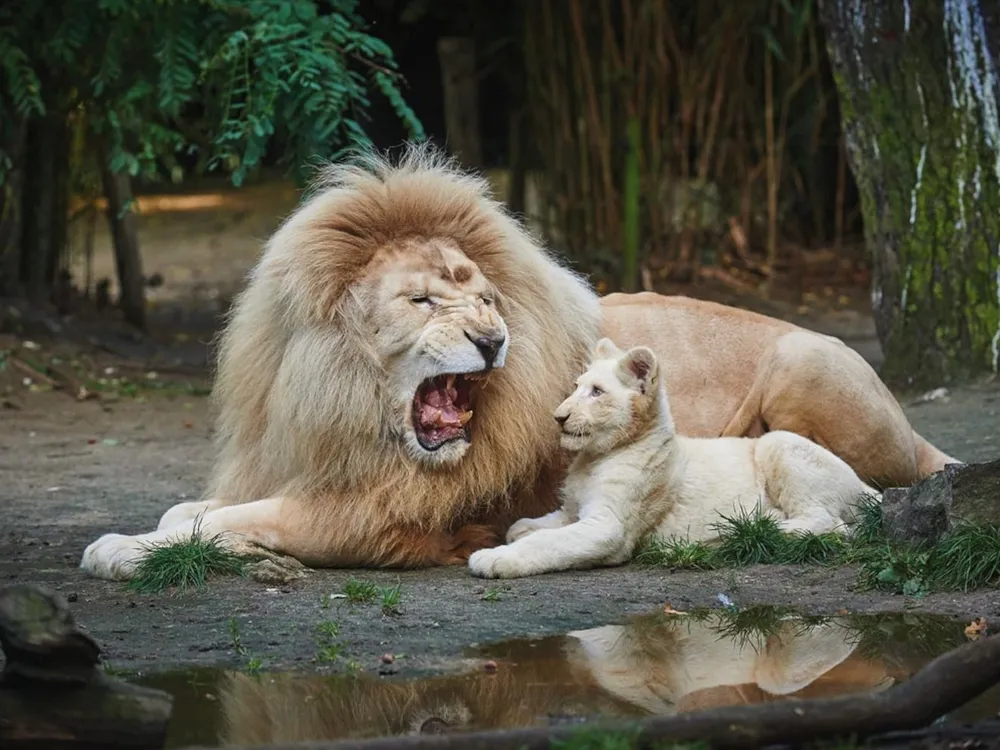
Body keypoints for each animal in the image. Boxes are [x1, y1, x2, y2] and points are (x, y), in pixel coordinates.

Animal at [466, 340, 876, 580]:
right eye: (576, 387)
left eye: (596, 392)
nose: (559, 416)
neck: (593, 457)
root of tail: (864, 484)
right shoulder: (572, 511)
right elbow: (536, 527)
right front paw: (522, 528)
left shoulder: (609, 526)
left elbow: (550, 544)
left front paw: (492, 559)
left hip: (780, 445)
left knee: (831, 524)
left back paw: (748, 529)